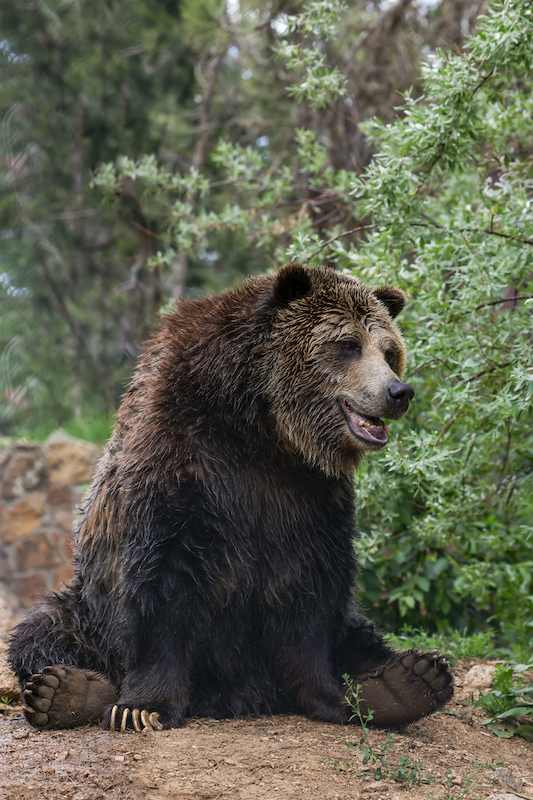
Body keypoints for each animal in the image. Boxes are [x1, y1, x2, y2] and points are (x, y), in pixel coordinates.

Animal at [8, 263, 453, 733]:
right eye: (348, 344)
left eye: (389, 351)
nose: (398, 392)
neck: (263, 428)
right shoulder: (186, 468)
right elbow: (162, 583)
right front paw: (143, 707)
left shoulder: (309, 495)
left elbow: (312, 595)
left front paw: (335, 696)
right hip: (89, 612)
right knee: (42, 630)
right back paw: (66, 689)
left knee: (358, 633)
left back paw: (409, 679)